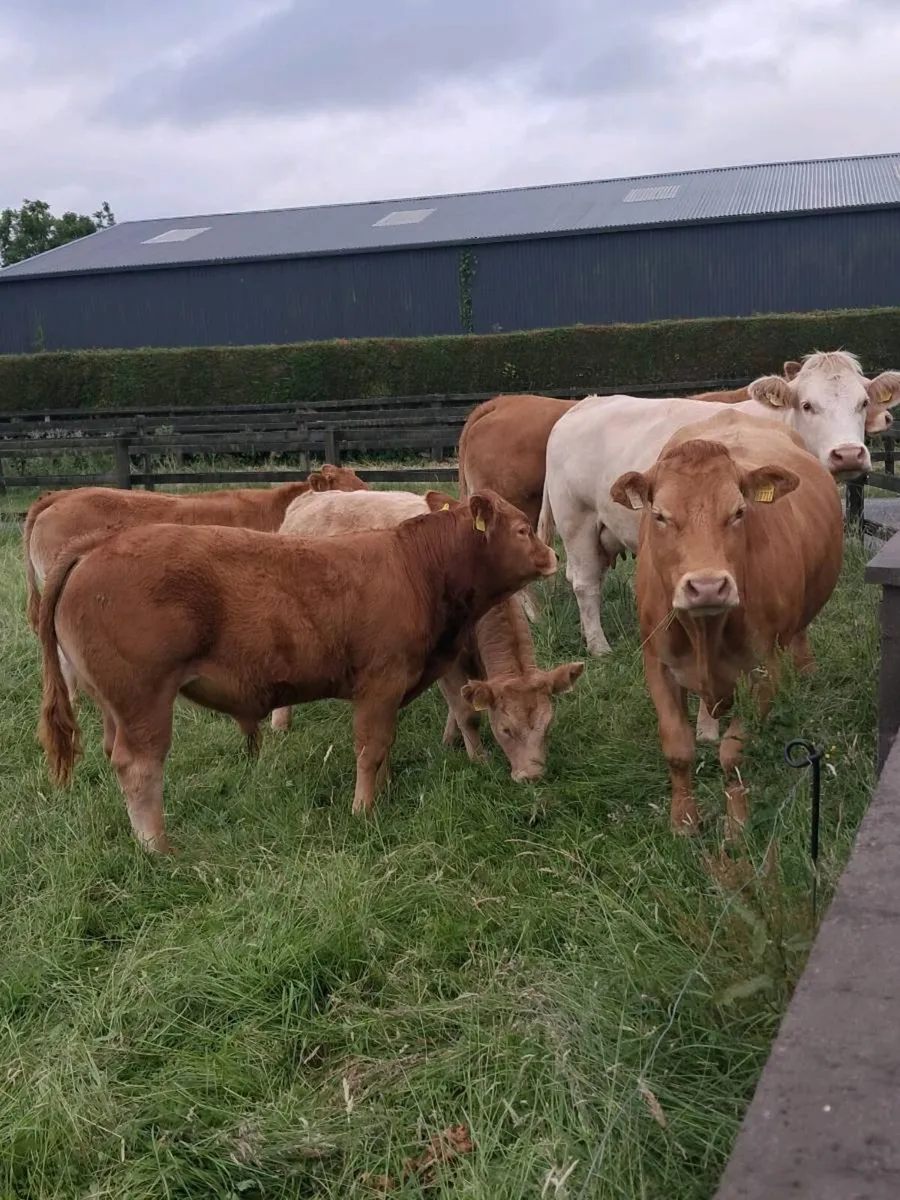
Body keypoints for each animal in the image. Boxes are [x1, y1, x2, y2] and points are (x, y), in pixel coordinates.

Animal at [271, 488, 584, 781]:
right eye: (506, 729)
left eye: (548, 724)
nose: (531, 776)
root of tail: (311, 496)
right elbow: (467, 713)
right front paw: (478, 759)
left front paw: (451, 738)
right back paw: (280, 724)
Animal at [610, 409, 843, 837]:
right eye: (660, 515)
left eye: (738, 512)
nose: (706, 586)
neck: (705, 632)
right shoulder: (657, 664)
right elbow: (677, 748)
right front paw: (683, 820)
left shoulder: (762, 669)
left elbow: (734, 753)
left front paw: (736, 826)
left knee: (799, 639)